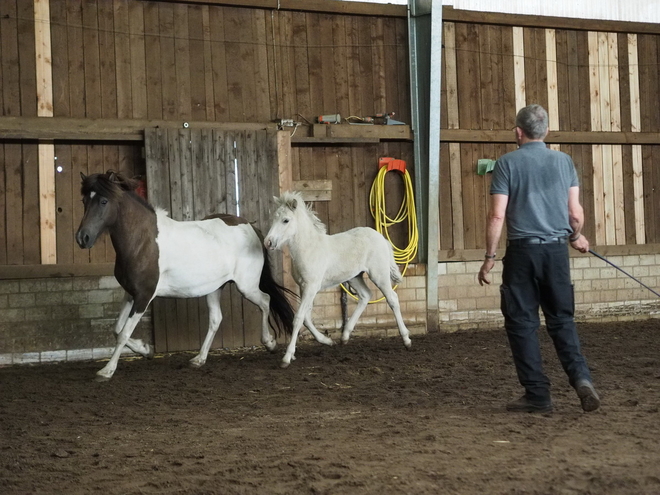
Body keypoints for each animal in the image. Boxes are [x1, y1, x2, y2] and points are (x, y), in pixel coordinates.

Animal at [75, 172, 294, 382]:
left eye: (104, 201)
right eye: (84, 200)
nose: (82, 238)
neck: (143, 241)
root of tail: (250, 227)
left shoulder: (144, 296)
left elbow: (123, 333)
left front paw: (106, 371)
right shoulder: (131, 294)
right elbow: (117, 329)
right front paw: (145, 349)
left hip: (246, 286)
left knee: (265, 301)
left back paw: (270, 343)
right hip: (215, 288)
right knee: (216, 319)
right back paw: (199, 359)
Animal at [264, 190, 412, 368]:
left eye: (286, 220)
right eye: (274, 218)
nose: (268, 242)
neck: (309, 248)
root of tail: (381, 238)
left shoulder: (311, 287)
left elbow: (299, 317)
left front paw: (287, 357)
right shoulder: (303, 286)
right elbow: (306, 317)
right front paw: (326, 341)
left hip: (379, 275)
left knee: (392, 299)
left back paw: (406, 340)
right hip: (354, 277)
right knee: (365, 295)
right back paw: (345, 336)